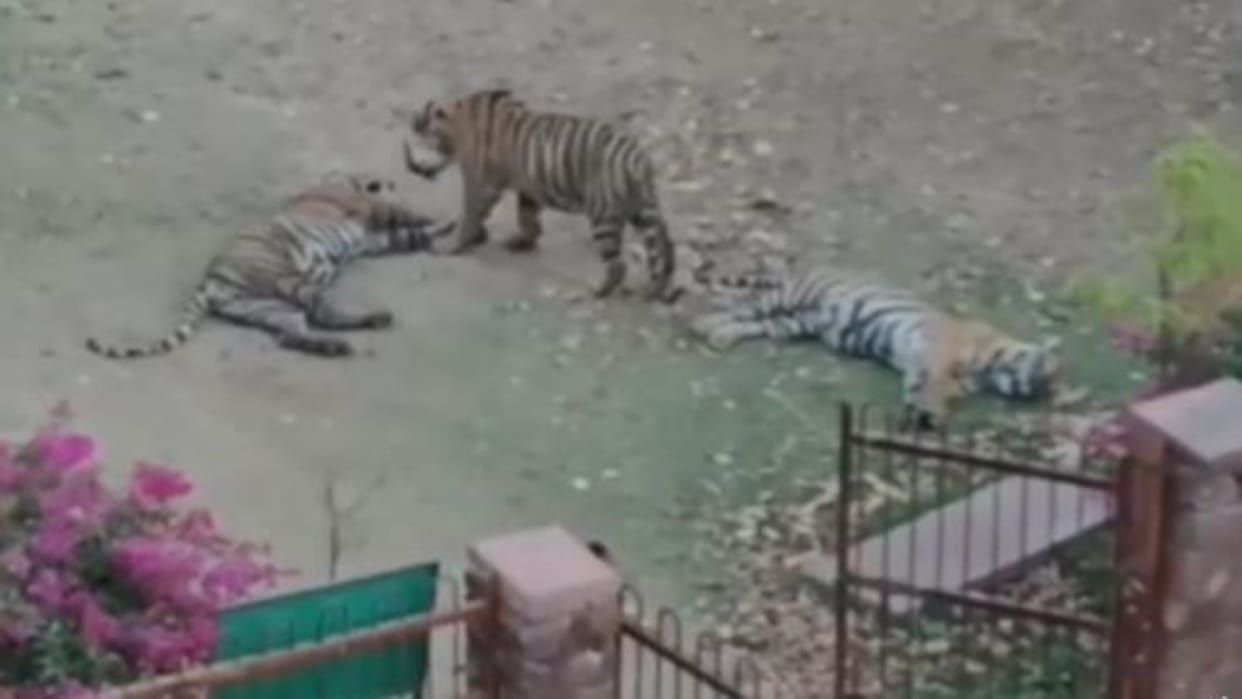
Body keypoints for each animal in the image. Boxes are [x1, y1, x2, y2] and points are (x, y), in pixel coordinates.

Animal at [85, 173, 454, 360]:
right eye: (385, 183)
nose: (393, 184)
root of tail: (209, 281)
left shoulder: (375, 240)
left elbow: (410, 235)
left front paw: (444, 228)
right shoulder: (369, 211)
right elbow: (410, 218)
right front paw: (447, 220)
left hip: (268, 307)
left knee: (291, 334)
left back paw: (332, 346)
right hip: (291, 281)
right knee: (324, 313)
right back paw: (369, 321)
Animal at [402, 88, 677, 302]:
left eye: (415, 139)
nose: (411, 167)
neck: (455, 125)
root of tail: (637, 159)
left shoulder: (480, 185)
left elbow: (468, 217)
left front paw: (449, 246)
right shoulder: (528, 188)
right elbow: (528, 219)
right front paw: (522, 241)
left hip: (604, 217)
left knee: (618, 265)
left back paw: (598, 290)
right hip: (642, 211)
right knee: (664, 247)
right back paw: (654, 290)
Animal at [687, 261, 1062, 431]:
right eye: (1045, 374)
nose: (1044, 389)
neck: (990, 363)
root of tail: (804, 267)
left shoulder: (925, 367)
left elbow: (926, 389)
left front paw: (924, 415)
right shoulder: (939, 357)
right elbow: (934, 385)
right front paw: (927, 412)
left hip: (796, 323)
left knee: (756, 324)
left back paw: (720, 337)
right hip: (787, 299)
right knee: (739, 307)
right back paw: (701, 325)